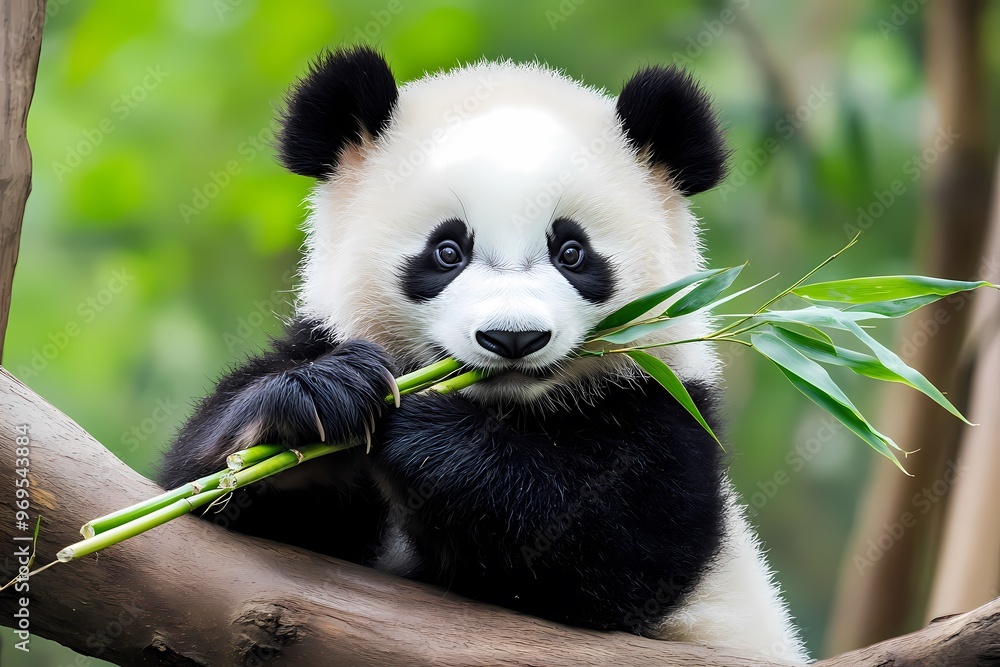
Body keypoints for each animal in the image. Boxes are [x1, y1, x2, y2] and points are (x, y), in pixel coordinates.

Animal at [159, 46, 808, 662]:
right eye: (447, 251)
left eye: (572, 252)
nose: (513, 338)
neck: (504, 408)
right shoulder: (321, 336)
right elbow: (207, 491)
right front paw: (318, 406)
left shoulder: (663, 404)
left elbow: (609, 547)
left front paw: (425, 435)